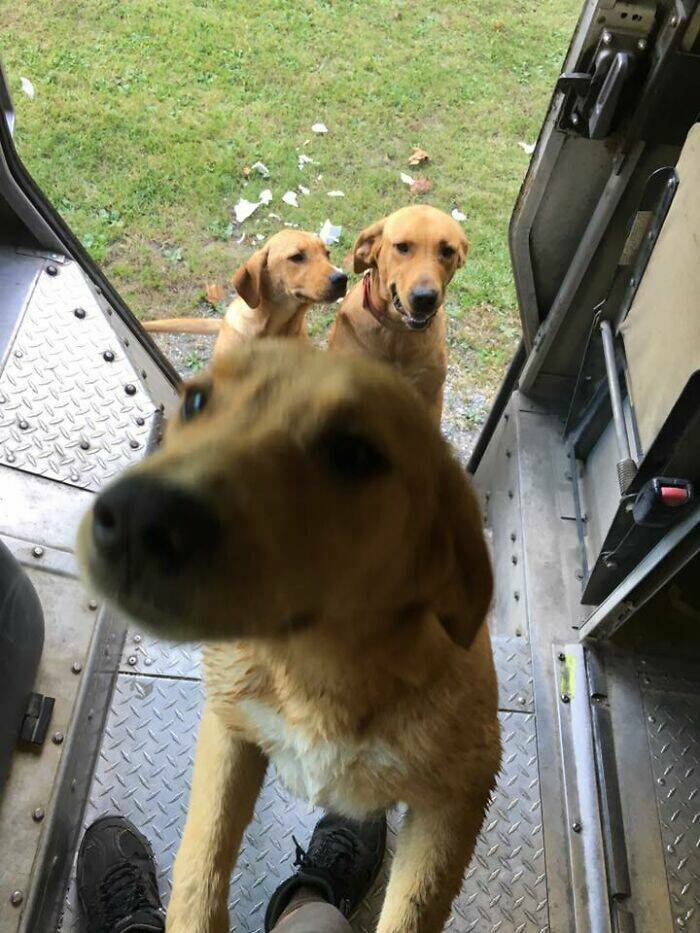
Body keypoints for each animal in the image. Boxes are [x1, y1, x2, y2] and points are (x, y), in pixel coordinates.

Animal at [79, 338, 500, 932]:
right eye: (197, 401)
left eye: (353, 452)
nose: (136, 518)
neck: (311, 674)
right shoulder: (227, 726)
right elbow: (199, 866)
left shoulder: (459, 797)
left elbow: (410, 912)